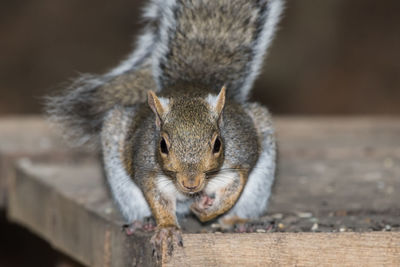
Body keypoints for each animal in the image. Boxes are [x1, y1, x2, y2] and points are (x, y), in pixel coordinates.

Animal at [46, 0, 284, 258]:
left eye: (218, 144)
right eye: (162, 145)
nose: (191, 183)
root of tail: (191, 82)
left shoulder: (239, 159)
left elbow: (233, 191)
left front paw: (208, 210)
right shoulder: (148, 169)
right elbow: (158, 200)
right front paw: (168, 228)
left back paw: (240, 222)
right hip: (121, 173)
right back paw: (145, 222)